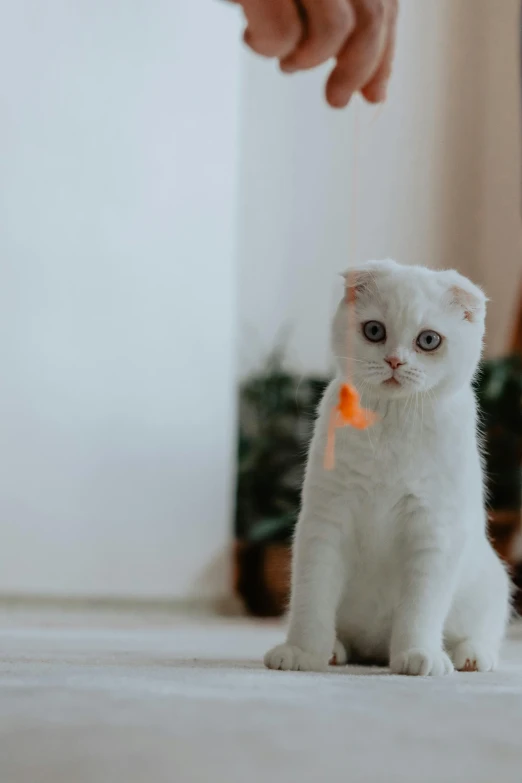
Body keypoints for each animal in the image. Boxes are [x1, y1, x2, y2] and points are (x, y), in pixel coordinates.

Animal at [264, 260, 508, 676]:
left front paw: (418, 654)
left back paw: (471, 656)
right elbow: (313, 599)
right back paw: (334, 651)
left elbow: (420, 608)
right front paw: (303, 652)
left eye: (429, 340)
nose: (395, 361)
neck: (392, 424)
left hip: (492, 583)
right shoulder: (324, 521)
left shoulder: (433, 530)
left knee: (481, 631)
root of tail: (376, 650)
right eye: (374, 331)